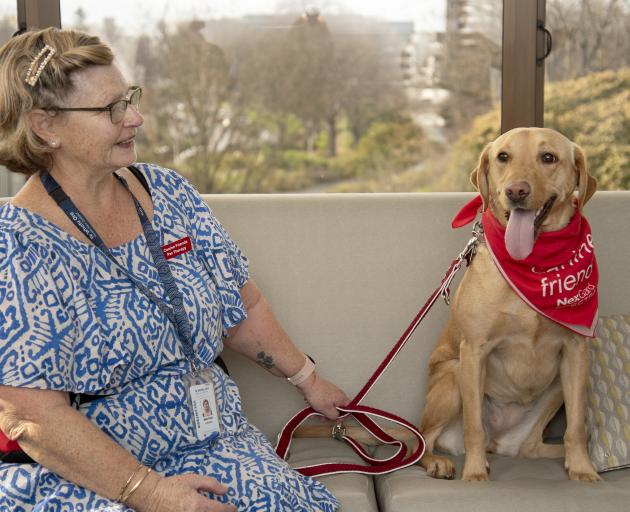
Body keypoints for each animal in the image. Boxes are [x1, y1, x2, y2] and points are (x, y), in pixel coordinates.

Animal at [420, 126, 604, 482]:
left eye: (548, 157)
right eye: (503, 156)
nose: (516, 191)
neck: (531, 264)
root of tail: (499, 439)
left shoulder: (576, 352)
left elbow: (576, 426)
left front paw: (583, 469)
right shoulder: (473, 350)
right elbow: (473, 426)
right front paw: (475, 475)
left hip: (556, 389)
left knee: (529, 448)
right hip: (452, 379)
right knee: (421, 441)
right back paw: (437, 461)